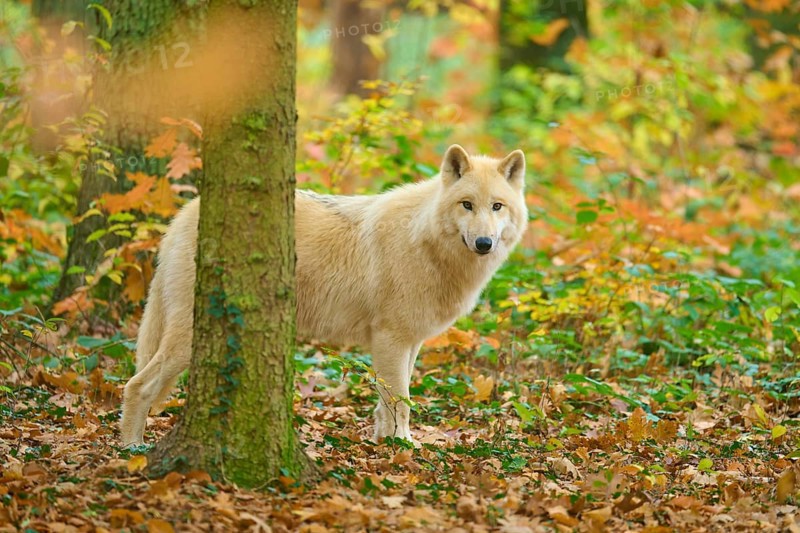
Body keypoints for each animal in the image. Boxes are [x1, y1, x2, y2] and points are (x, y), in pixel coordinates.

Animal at [120, 144, 528, 446]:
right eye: (466, 204)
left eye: (497, 206)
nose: (484, 243)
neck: (424, 240)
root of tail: (182, 217)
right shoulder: (391, 339)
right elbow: (401, 401)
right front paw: (403, 447)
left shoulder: (408, 342)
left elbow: (390, 402)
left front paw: (385, 443)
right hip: (185, 338)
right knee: (136, 385)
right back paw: (132, 450)